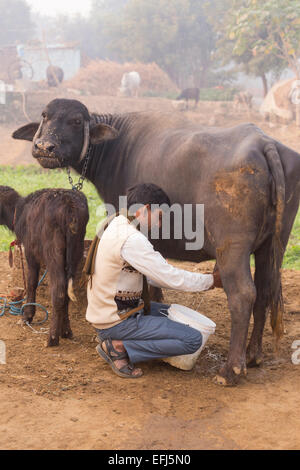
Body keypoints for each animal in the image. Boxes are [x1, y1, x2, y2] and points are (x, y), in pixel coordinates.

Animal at [12, 98, 300, 386]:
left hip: (232, 249)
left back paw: (231, 370)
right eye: (45, 116)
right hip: (272, 246)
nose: (44, 147)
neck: (116, 147)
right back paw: (253, 356)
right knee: (265, 290)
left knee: (243, 294)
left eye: (75, 121)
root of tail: (264, 143)